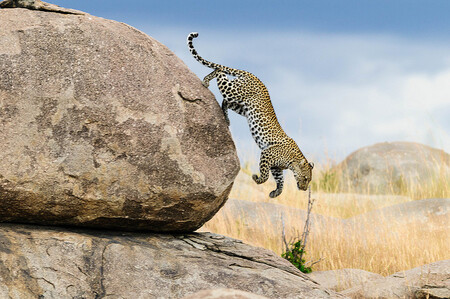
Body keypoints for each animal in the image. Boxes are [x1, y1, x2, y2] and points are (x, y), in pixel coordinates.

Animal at [186, 32, 312, 199]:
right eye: (305, 178)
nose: (304, 189)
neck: (293, 160)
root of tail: (253, 75)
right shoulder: (267, 154)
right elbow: (265, 175)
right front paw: (257, 178)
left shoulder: (276, 167)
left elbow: (281, 181)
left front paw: (275, 193)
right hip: (233, 91)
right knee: (220, 72)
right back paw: (207, 81)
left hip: (241, 106)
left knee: (225, 99)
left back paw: (225, 117)